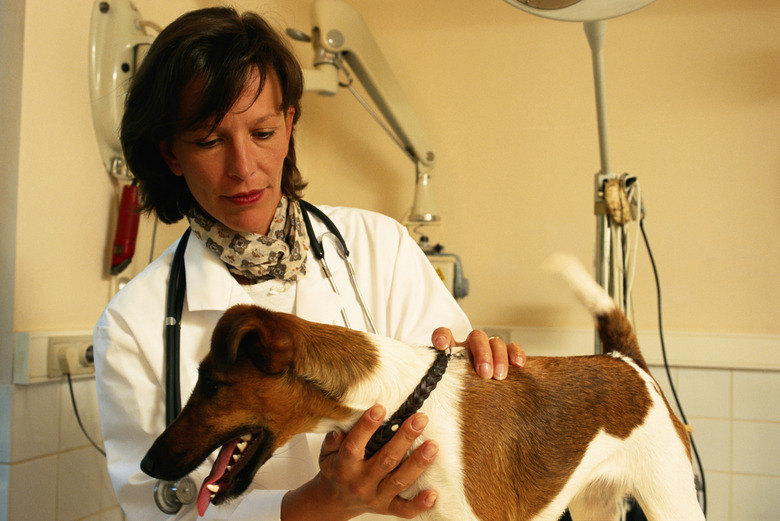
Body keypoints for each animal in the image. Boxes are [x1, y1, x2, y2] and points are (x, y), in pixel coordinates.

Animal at [142, 256, 708, 520]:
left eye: (212, 386)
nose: (146, 464)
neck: (400, 400)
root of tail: (625, 362)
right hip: (597, 502)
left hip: (671, 499)